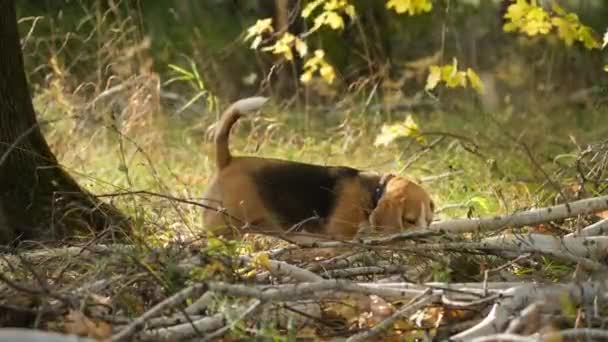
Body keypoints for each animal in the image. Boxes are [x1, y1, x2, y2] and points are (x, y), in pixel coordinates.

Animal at [202, 96, 434, 240]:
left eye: (429, 221)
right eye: (409, 220)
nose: (426, 237)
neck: (374, 191)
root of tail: (228, 160)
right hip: (222, 225)